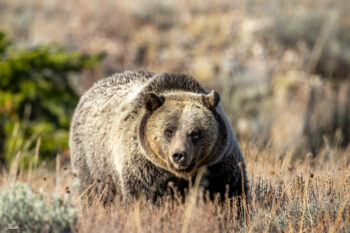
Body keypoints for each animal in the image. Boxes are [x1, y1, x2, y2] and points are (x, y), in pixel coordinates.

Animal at [69, 70, 247, 204]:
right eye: (169, 131)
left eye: (195, 132)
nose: (179, 155)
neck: (182, 175)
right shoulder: (144, 169)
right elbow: (143, 198)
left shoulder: (218, 165)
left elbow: (231, 195)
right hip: (93, 162)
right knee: (94, 192)